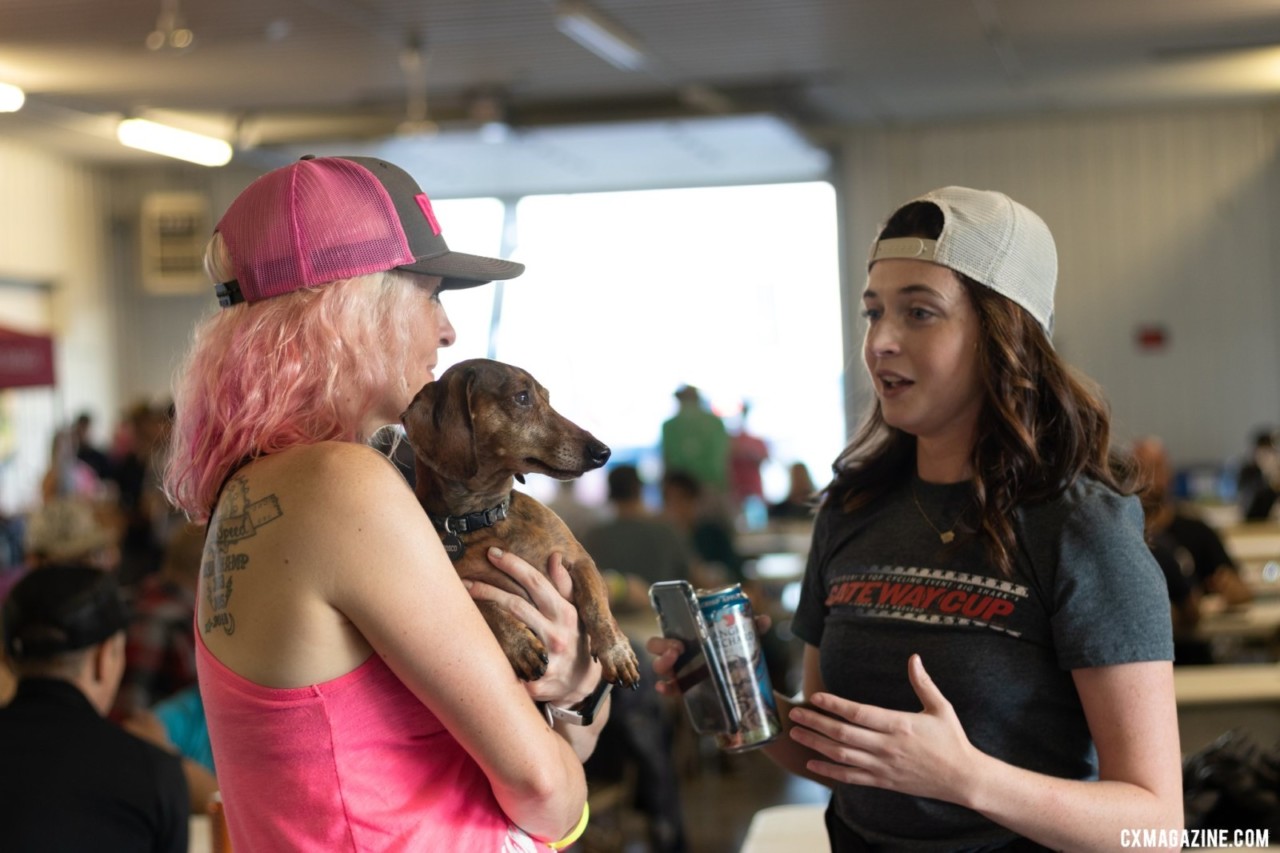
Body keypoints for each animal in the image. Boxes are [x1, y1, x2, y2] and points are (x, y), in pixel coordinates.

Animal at [399, 356, 640, 686]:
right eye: (522, 397)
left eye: (546, 397)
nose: (603, 452)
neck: (484, 517)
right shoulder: (459, 588)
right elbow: (485, 606)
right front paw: (520, 645)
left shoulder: (580, 560)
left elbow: (595, 606)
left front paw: (617, 653)